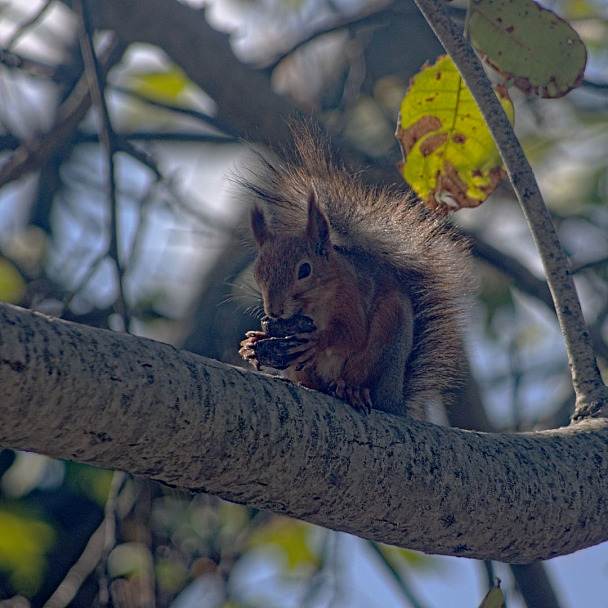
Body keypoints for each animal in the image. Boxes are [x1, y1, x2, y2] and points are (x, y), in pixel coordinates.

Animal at [238, 123, 470, 418]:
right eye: (258, 272)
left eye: (305, 270)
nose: (275, 311)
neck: (313, 303)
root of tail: (394, 398)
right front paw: (252, 343)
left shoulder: (350, 295)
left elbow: (352, 334)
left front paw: (317, 341)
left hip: (385, 337)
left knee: (361, 373)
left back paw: (352, 390)